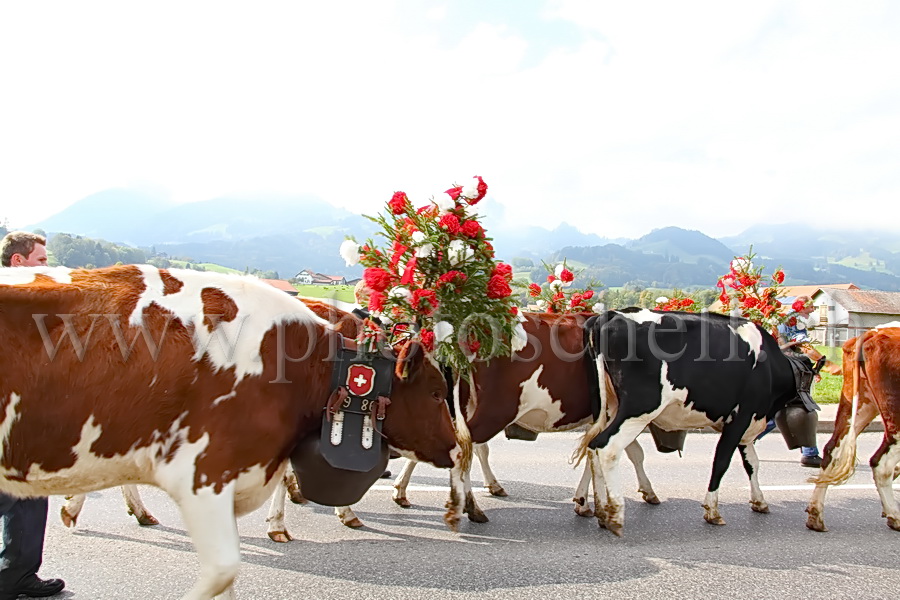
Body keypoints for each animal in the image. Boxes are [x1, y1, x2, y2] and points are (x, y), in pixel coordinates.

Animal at [576, 310, 816, 536]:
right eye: (811, 378)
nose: (811, 407)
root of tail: (612, 314)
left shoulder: (747, 424)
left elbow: (752, 464)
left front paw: (759, 501)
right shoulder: (741, 417)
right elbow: (722, 461)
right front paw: (712, 511)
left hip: (609, 408)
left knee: (592, 447)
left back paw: (600, 511)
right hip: (639, 408)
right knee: (606, 448)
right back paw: (615, 515)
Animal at [808, 328, 900, 528]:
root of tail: (874, 333)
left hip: (857, 404)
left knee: (832, 450)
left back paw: (815, 515)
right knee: (881, 464)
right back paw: (895, 516)